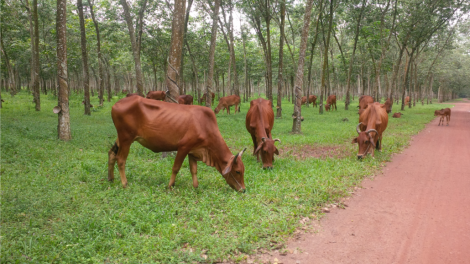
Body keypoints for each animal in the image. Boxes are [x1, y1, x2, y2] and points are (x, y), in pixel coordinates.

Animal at [106, 95, 246, 192]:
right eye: (238, 171)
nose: (243, 190)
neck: (205, 126)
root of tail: (116, 104)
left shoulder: (193, 151)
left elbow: (194, 170)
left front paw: (196, 187)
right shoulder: (183, 147)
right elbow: (176, 168)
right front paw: (170, 186)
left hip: (120, 138)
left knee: (111, 153)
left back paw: (111, 179)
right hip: (126, 138)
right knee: (121, 160)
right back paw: (124, 184)